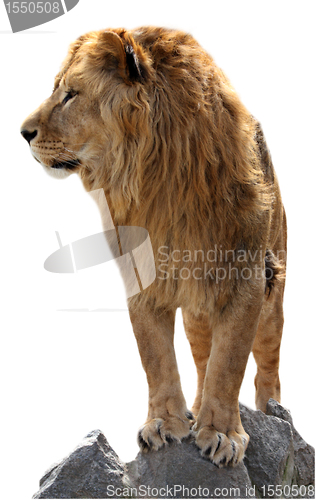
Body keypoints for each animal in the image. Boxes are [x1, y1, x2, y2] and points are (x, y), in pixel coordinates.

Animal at [19, 27, 286, 466]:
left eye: (70, 94)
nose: (22, 133)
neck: (159, 179)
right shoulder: (142, 275)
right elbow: (156, 356)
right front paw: (165, 423)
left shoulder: (245, 275)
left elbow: (230, 361)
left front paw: (223, 433)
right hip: (199, 312)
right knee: (202, 360)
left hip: (272, 294)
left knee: (268, 363)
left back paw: (274, 412)